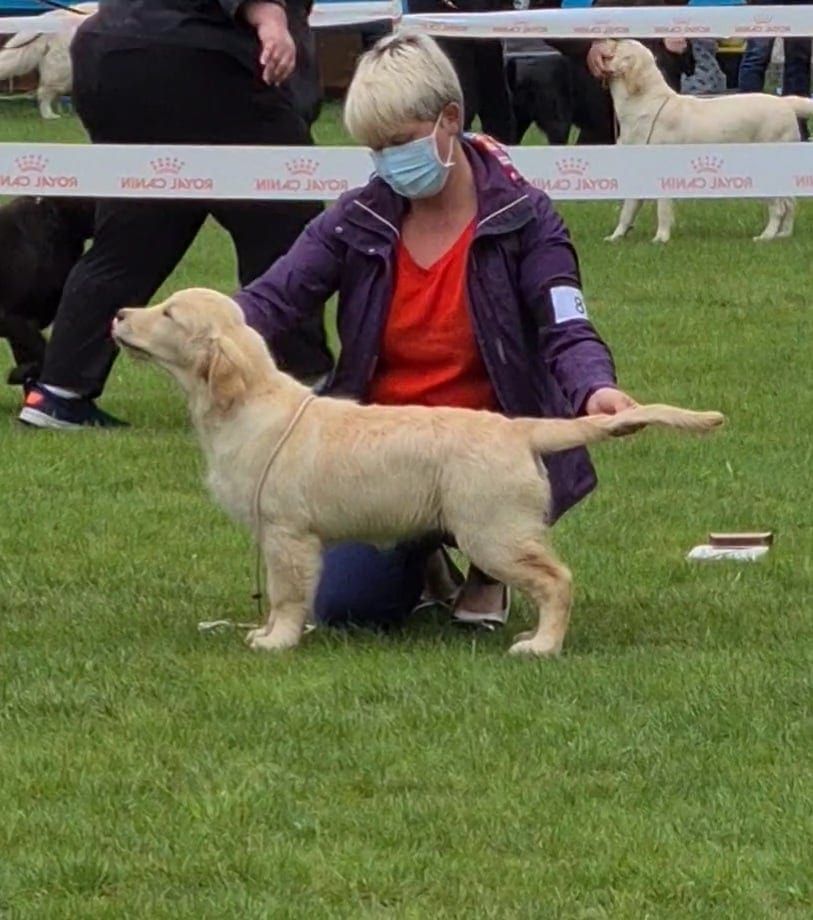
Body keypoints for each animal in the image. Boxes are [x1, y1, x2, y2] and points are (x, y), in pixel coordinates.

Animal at [112, 292, 724, 656]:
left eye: (168, 314)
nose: (119, 314)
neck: (247, 405)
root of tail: (519, 429)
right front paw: (264, 632)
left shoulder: (288, 533)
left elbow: (287, 593)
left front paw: (276, 640)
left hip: (493, 529)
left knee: (557, 579)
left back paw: (541, 645)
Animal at [604, 39, 808, 243]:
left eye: (617, 49)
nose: (609, 44)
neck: (643, 103)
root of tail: (785, 102)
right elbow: (627, 211)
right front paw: (615, 236)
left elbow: (662, 210)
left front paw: (660, 239)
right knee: (790, 203)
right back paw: (783, 234)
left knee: (779, 208)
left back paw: (766, 236)